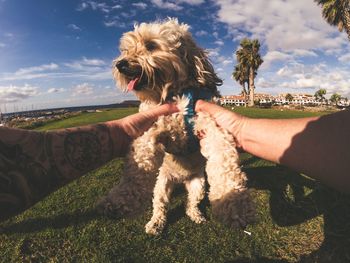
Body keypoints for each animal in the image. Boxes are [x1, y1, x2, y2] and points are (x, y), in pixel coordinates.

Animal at [97, 19, 256, 237]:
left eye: (150, 45)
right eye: (126, 49)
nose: (120, 64)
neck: (175, 94)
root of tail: (180, 179)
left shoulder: (212, 124)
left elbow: (224, 160)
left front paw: (233, 202)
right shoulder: (152, 130)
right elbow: (138, 166)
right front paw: (119, 200)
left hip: (198, 184)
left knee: (191, 204)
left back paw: (197, 216)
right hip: (161, 185)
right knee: (160, 205)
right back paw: (155, 224)